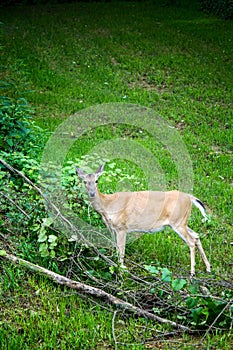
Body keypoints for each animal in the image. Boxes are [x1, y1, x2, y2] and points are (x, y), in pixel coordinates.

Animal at [75, 164, 211, 276]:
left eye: (96, 180)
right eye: (85, 181)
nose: (92, 193)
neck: (108, 205)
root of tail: (189, 198)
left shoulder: (121, 227)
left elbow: (121, 250)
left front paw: (121, 270)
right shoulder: (112, 228)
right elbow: (116, 248)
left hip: (177, 221)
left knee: (191, 241)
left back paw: (192, 272)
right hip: (182, 221)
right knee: (196, 235)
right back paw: (208, 268)